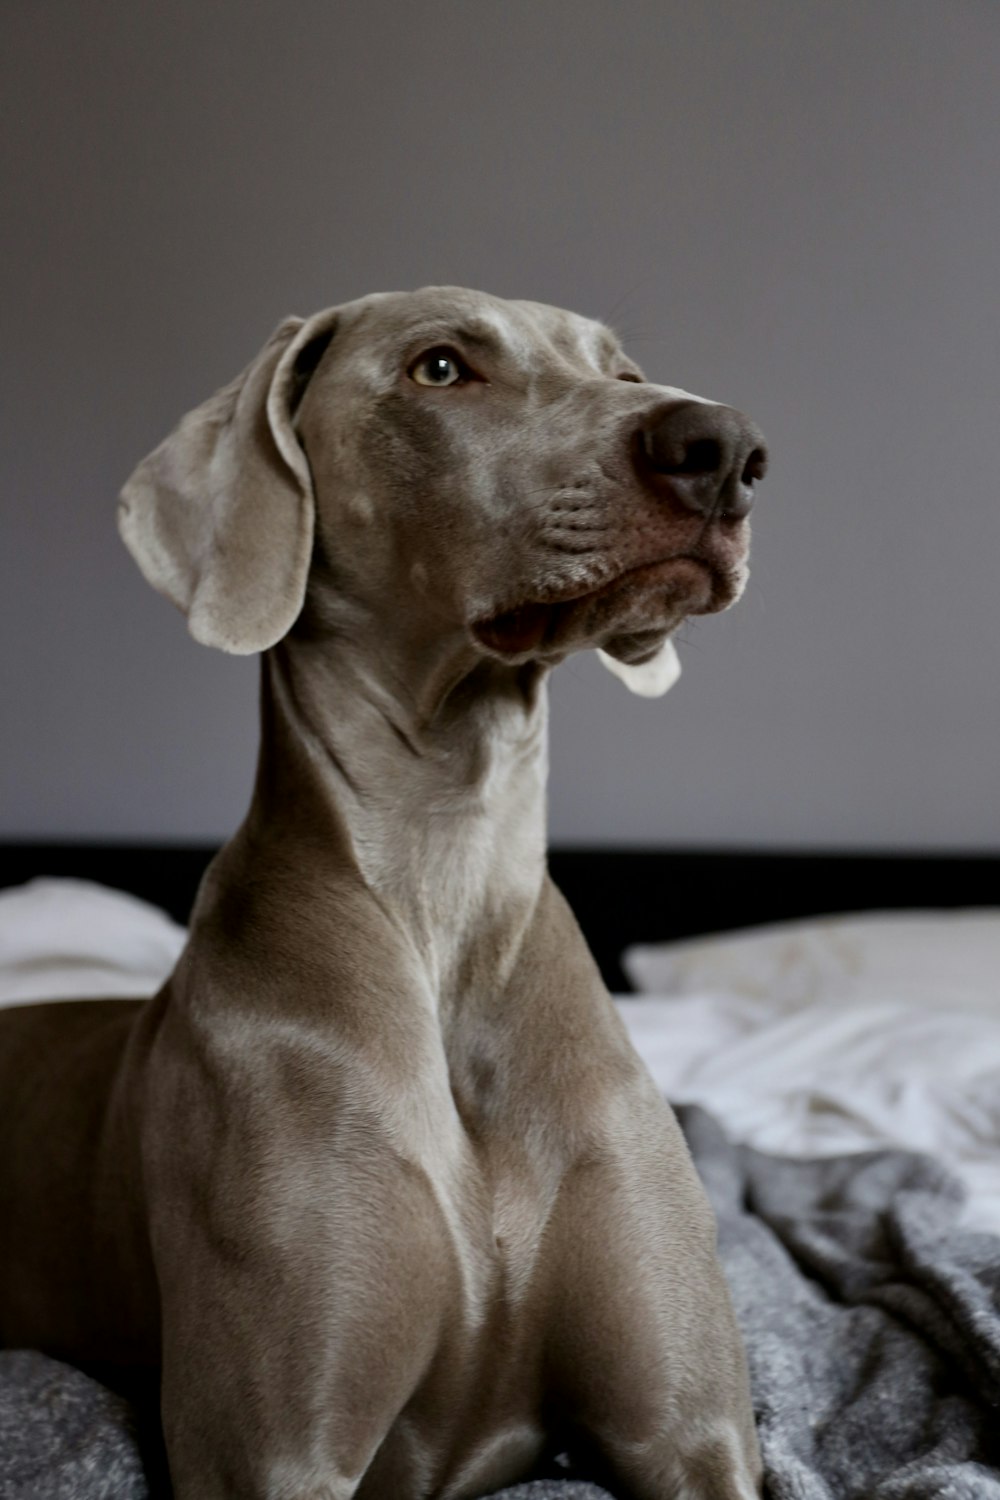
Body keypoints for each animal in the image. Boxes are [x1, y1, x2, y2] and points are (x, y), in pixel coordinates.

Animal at [0, 286, 767, 1494]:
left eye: (624, 369)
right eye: (439, 367)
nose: (724, 447)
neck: (443, 880)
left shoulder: (694, 1435)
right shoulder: (275, 1455)